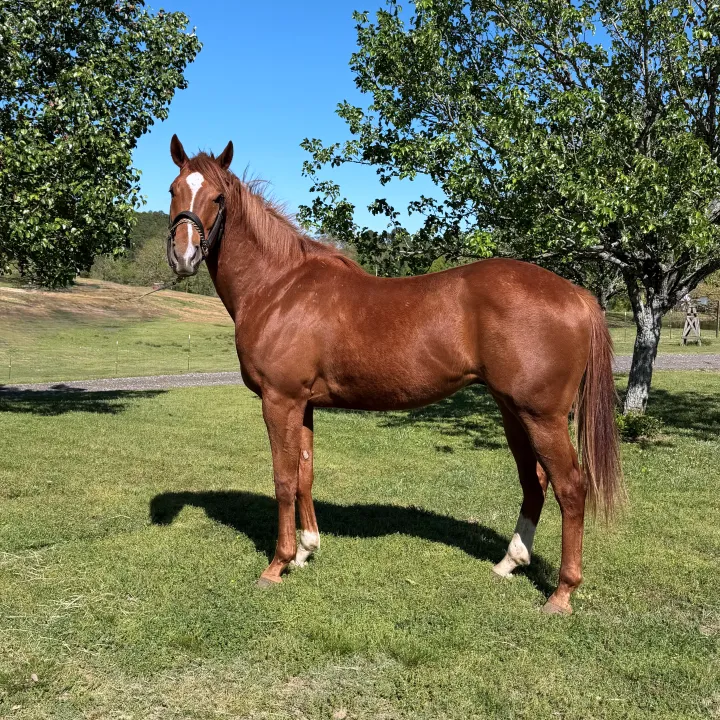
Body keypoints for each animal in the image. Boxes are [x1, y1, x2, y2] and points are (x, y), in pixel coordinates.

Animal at [165, 135, 623, 615]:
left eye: (218, 197)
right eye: (173, 189)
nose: (183, 256)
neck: (279, 287)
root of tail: (577, 295)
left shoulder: (280, 400)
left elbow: (284, 479)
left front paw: (278, 564)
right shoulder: (303, 405)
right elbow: (306, 473)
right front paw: (308, 550)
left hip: (543, 417)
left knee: (571, 487)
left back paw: (562, 592)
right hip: (513, 411)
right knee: (534, 482)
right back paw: (509, 563)